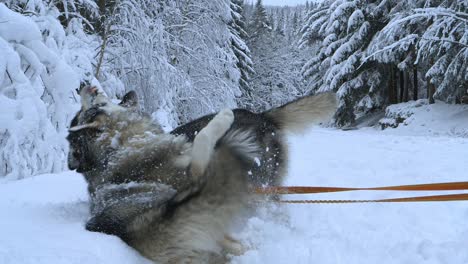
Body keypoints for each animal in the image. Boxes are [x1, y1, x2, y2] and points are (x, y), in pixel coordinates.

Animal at [66, 86, 336, 262]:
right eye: (95, 105)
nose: (84, 85)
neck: (120, 145)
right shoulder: (194, 171)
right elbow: (204, 137)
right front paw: (222, 119)